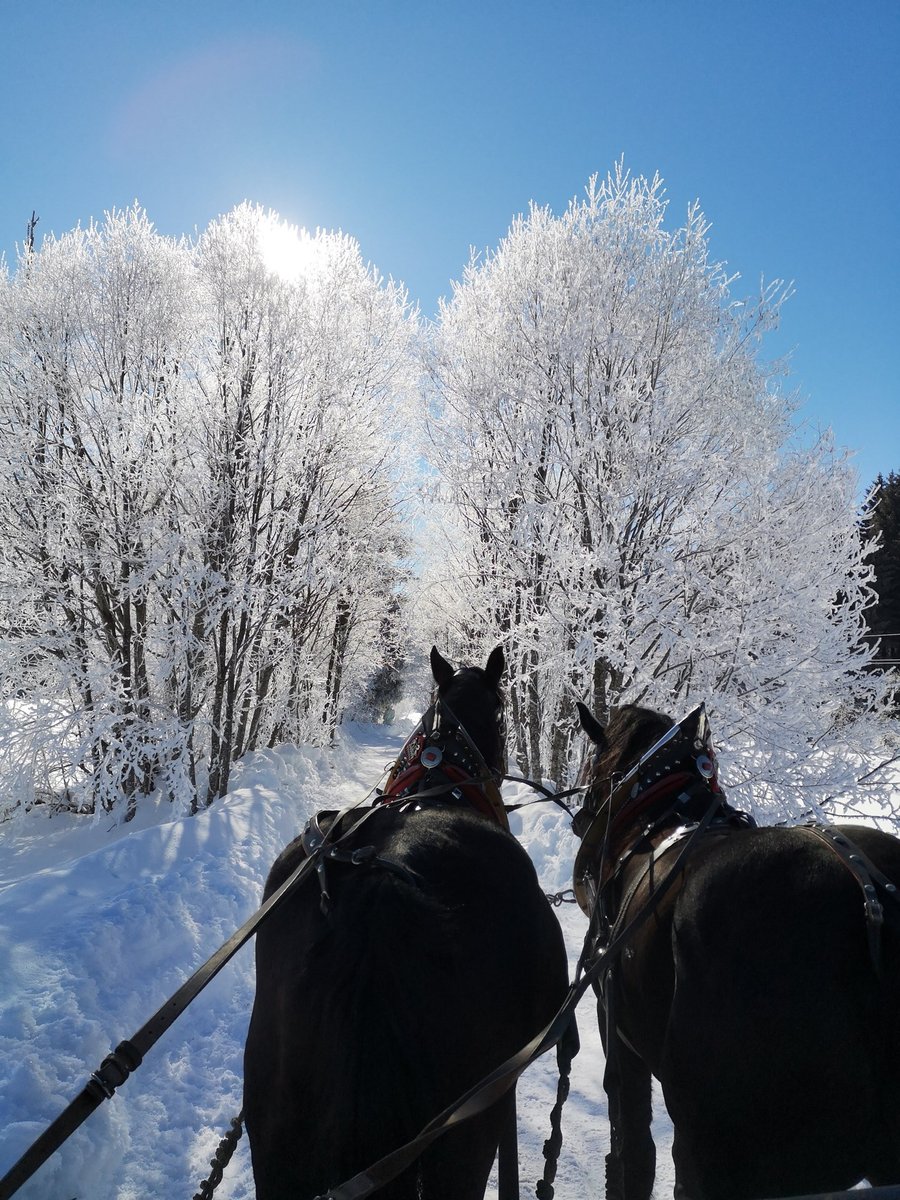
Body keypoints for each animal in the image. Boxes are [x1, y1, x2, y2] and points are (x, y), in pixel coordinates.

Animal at [573, 700, 900, 1200]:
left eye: (594, 770)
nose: (581, 822)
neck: (659, 818)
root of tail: (870, 898)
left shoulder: (620, 1040)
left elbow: (632, 1153)